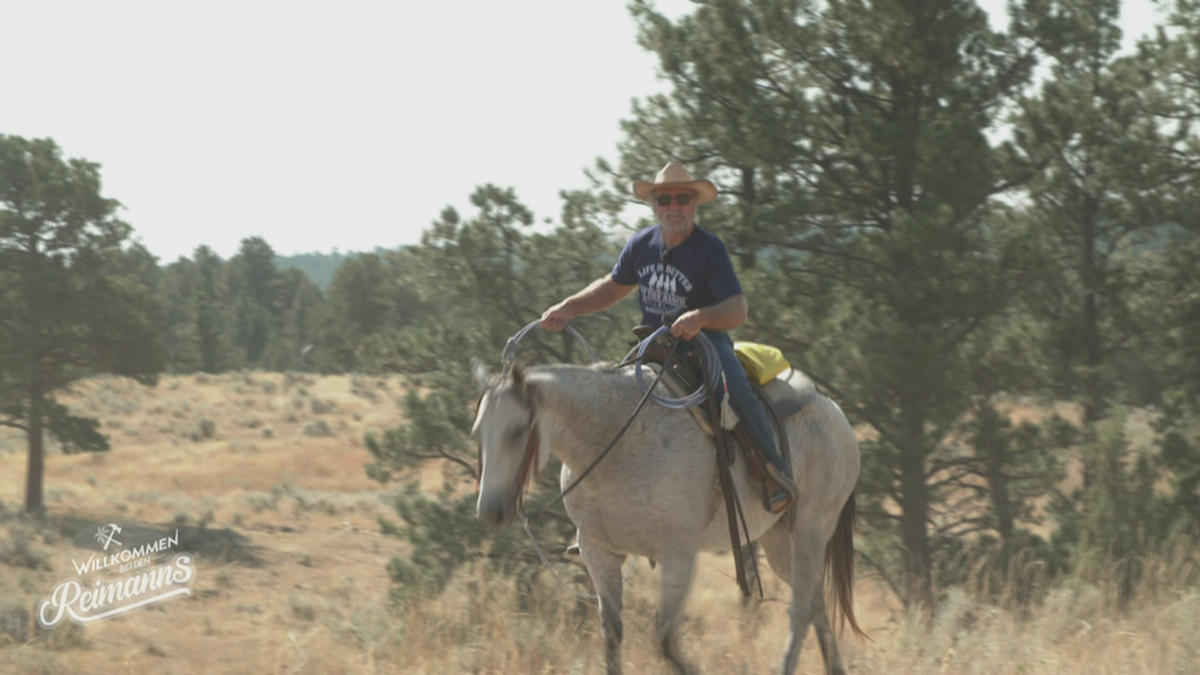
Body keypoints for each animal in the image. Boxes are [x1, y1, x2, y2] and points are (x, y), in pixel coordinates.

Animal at [470, 360, 864, 672]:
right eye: (478, 432)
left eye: (517, 431)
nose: (491, 509)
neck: (616, 443)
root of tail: (835, 411)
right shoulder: (598, 552)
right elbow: (612, 633)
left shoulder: (678, 556)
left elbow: (665, 640)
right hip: (779, 539)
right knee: (815, 602)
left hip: (811, 529)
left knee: (800, 611)